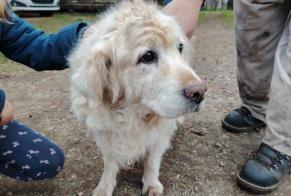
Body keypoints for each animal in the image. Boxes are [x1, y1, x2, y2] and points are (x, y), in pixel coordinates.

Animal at [70, 0, 208, 195]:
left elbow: (152, 160)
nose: (200, 92)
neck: (131, 114)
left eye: (179, 48)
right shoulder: (104, 132)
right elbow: (110, 162)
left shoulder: (160, 133)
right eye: (147, 56)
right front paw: (104, 186)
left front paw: (151, 184)